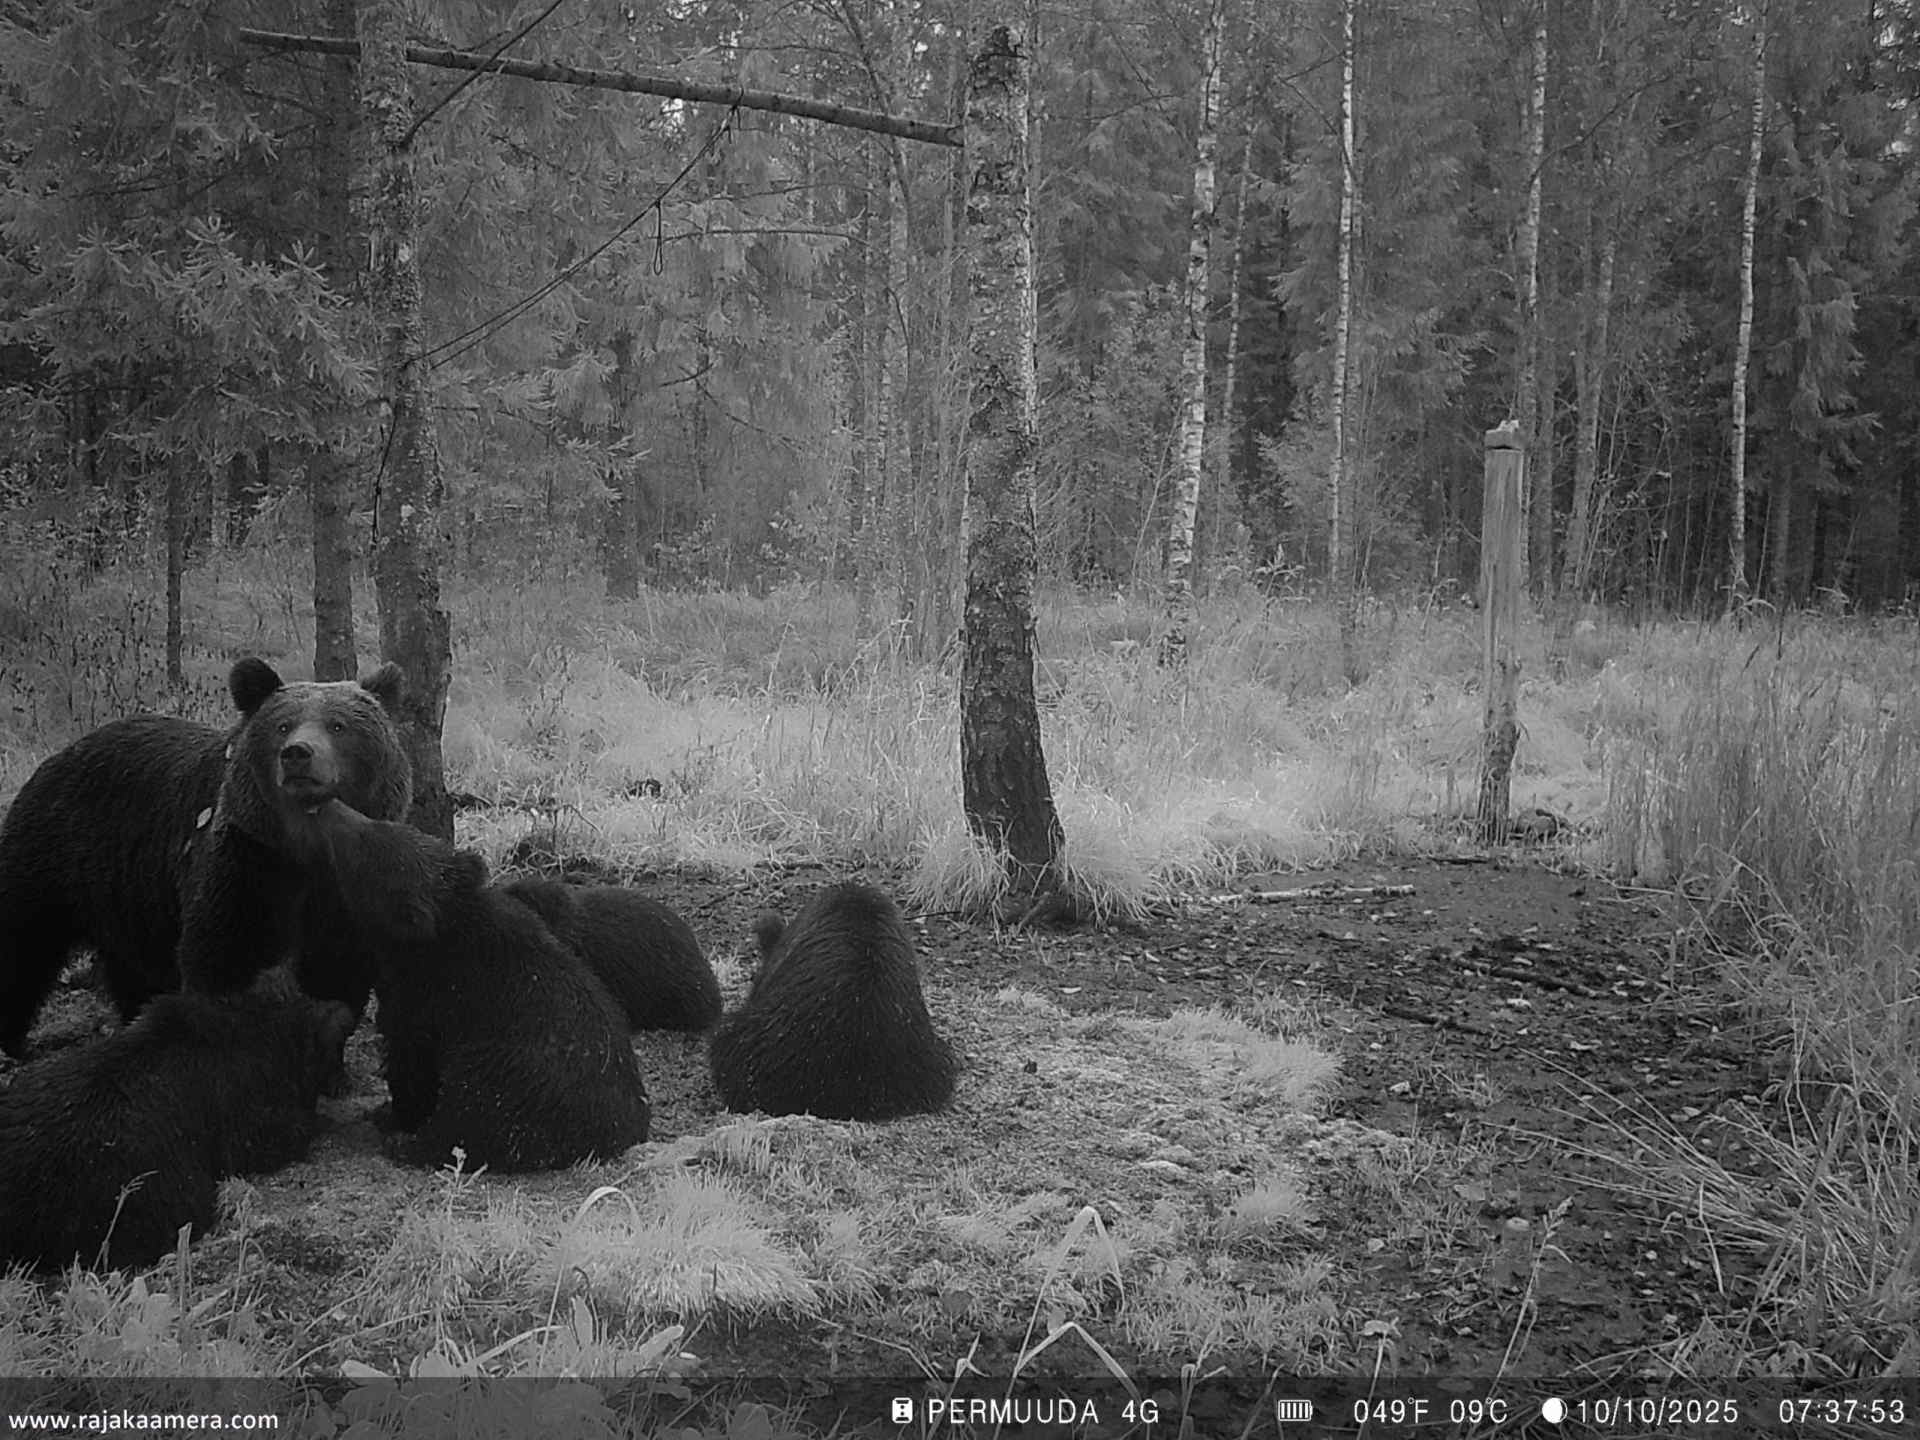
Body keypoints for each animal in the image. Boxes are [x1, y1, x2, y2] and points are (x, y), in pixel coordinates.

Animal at [0, 657, 411, 1057]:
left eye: (338, 725)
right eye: (282, 725)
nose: (297, 754)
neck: (306, 848)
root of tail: (62, 753)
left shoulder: (347, 884)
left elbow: (335, 969)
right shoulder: (247, 860)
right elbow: (226, 958)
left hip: (125, 893)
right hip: (53, 851)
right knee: (22, 940)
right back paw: (15, 1042)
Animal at [308, 800, 651, 1173]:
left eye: (363, 845)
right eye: (382, 825)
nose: (329, 805)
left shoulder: (426, 1003)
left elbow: (411, 1063)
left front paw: (394, 1115)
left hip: (503, 1076)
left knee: (466, 1125)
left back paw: (407, 1144)